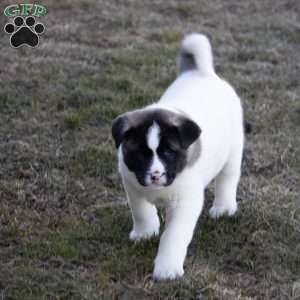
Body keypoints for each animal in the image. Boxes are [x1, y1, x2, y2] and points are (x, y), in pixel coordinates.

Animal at [111, 34, 245, 280]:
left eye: (168, 152)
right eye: (140, 153)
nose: (155, 175)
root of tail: (202, 72)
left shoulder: (185, 203)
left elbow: (173, 236)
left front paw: (167, 269)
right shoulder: (133, 186)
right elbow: (141, 212)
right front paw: (145, 232)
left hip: (232, 153)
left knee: (227, 180)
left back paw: (224, 208)